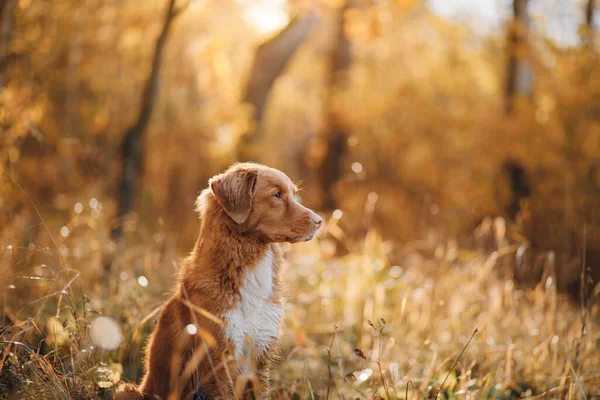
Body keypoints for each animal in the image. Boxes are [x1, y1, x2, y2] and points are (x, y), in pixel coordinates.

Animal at [116, 163, 324, 400]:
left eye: (292, 194)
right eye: (277, 195)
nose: (319, 221)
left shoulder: (259, 358)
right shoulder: (218, 360)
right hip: (127, 390)